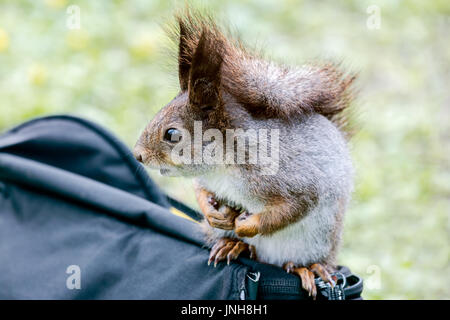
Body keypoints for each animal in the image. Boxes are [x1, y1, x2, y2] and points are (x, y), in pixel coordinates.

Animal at [132, 10, 356, 300]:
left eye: (172, 134)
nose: (138, 155)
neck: (222, 167)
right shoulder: (206, 179)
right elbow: (200, 190)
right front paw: (213, 213)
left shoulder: (290, 180)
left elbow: (293, 208)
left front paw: (245, 225)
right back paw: (235, 246)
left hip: (318, 241)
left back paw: (307, 268)